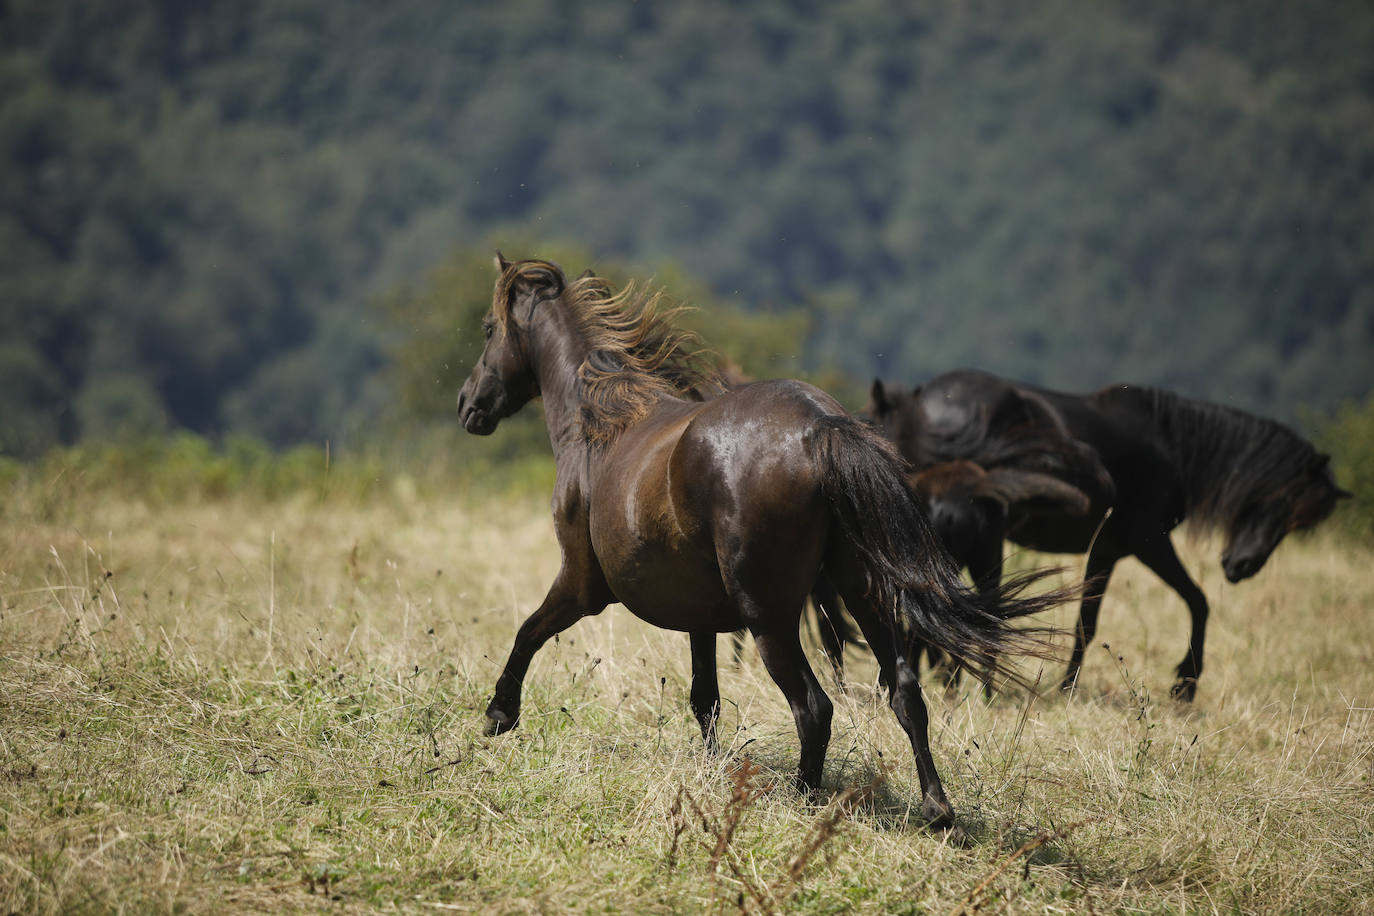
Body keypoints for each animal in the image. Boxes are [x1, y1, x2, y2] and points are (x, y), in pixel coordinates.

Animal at [456, 256, 1066, 823]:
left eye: (487, 329)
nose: (468, 404)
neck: (600, 426)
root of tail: (822, 427)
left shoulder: (583, 586)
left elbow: (528, 631)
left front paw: (498, 714)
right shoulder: (699, 615)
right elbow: (705, 699)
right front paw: (709, 768)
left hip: (770, 616)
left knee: (814, 707)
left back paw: (800, 798)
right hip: (864, 594)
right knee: (905, 691)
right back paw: (938, 810)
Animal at [873, 368, 1346, 697]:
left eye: (1300, 522)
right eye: (1284, 503)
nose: (1240, 565)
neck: (1172, 447)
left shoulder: (1108, 550)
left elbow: (1088, 620)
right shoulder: (1144, 542)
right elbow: (1196, 602)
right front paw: (1185, 683)